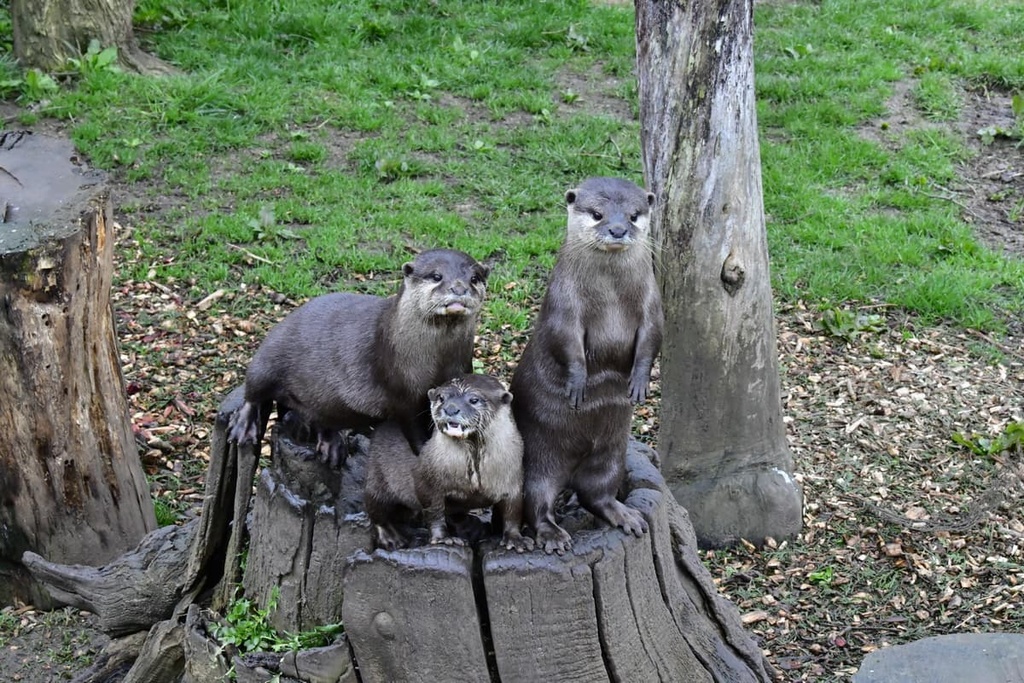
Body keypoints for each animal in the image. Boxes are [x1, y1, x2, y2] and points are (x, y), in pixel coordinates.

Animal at [228, 249, 489, 459]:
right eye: (436, 276)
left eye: (474, 278)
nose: (459, 288)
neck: (437, 361)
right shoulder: (402, 390)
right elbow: (413, 428)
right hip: (267, 358)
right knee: (253, 393)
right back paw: (244, 427)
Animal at [364, 374, 533, 553]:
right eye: (441, 397)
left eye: (474, 399)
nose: (450, 409)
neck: (474, 472)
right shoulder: (427, 479)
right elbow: (434, 510)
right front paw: (443, 539)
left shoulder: (513, 478)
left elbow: (513, 510)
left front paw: (515, 538)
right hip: (377, 478)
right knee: (376, 510)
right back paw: (391, 538)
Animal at [510, 177, 662, 554]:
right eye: (597, 214)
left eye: (634, 215)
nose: (618, 229)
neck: (610, 296)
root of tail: (571, 470)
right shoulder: (564, 304)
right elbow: (566, 340)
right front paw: (578, 384)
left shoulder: (652, 304)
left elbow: (653, 337)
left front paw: (640, 383)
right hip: (539, 460)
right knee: (536, 503)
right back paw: (553, 535)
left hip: (611, 455)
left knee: (596, 494)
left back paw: (626, 516)